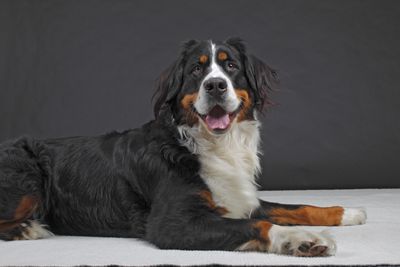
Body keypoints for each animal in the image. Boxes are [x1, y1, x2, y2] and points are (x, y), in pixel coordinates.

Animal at [0, 37, 366, 258]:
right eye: (196, 69)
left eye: (230, 65)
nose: (215, 85)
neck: (214, 145)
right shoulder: (172, 223)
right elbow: (261, 224)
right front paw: (303, 240)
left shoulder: (239, 198)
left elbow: (294, 206)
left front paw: (346, 212)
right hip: (26, 176)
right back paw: (28, 228)